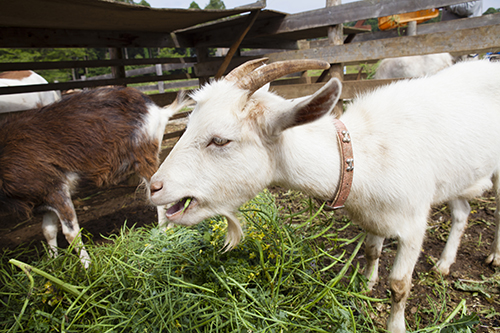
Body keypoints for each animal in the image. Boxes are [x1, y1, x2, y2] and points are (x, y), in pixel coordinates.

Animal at [0, 86, 189, 268]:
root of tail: (157, 110)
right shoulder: (44, 196)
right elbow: (48, 230)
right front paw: (53, 262)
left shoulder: (56, 187)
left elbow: (71, 233)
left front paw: (87, 266)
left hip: (144, 154)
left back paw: (162, 232)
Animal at [150, 57, 500, 332]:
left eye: (220, 140)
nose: (154, 187)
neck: (360, 157)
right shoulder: (374, 216)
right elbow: (372, 251)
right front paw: (366, 284)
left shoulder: (414, 223)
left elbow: (399, 286)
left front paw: (395, 326)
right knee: (461, 212)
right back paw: (444, 263)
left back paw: (494, 257)